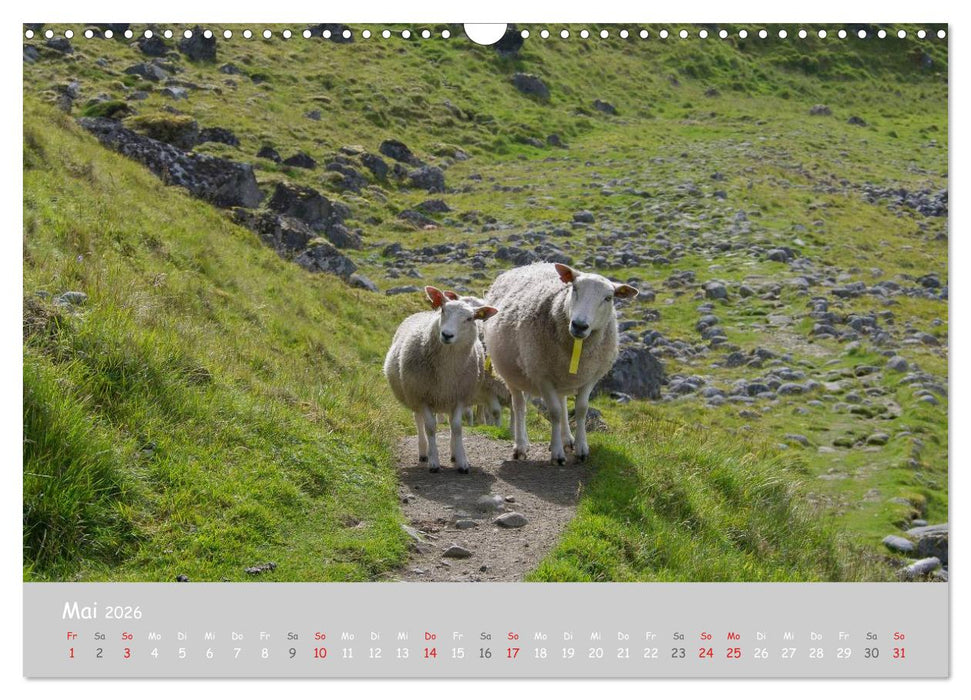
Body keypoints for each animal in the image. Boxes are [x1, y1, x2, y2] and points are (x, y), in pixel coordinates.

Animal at [383, 286, 498, 473]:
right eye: (443, 310)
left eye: (470, 318)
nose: (447, 334)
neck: (446, 371)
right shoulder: (422, 396)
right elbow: (430, 427)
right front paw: (433, 461)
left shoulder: (459, 397)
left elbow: (457, 427)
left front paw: (462, 461)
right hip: (413, 393)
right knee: (419, 420)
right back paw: (423, 452)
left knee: (450, 423)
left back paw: (453, 454)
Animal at [483, 262, 638, 464]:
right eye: (575, 288)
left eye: (608, 298)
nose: (579, 325)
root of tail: (530, 264)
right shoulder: (542, 376)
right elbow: (554, 412)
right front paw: (557, 453)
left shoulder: (590, 377)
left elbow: (581, 410)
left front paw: (581, 448)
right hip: (512, 373)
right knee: (519, 406)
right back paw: (521, 446)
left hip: (560, 376)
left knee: (562, 403)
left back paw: (567, 439)